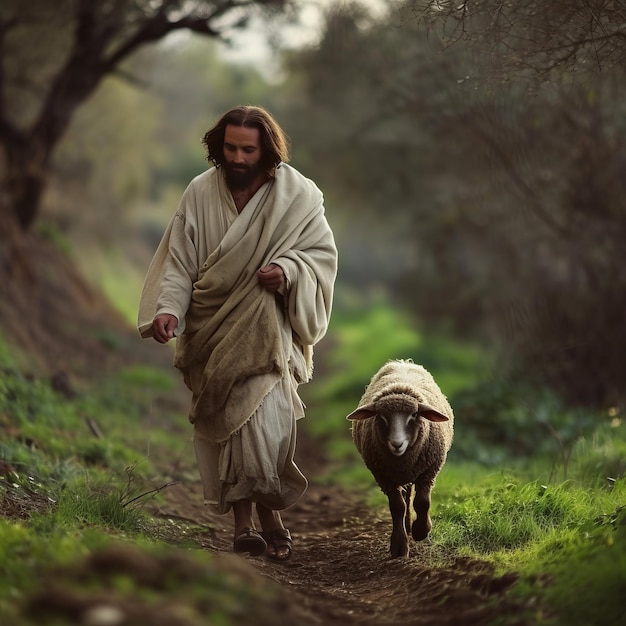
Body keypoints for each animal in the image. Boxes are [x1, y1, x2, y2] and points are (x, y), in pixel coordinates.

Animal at [346, 358, 454, 560]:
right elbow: (397, 507)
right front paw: (399, 547)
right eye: (381, 417)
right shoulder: (383, 476)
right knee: (405, 498)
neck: (402, 460)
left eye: (414, 416)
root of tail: (403, 362)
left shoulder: (428, 472)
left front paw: (421, 531)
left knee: (410, 495)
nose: (397, 444)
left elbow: (422, 502)